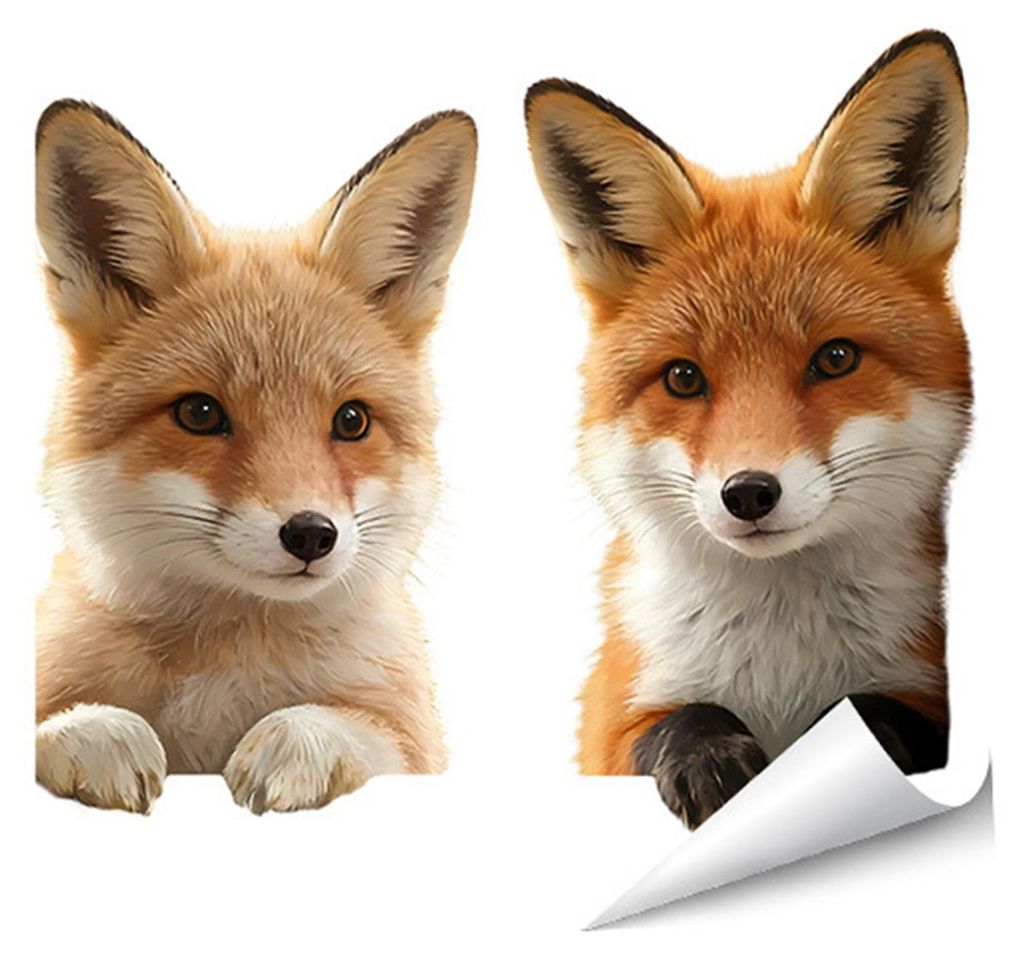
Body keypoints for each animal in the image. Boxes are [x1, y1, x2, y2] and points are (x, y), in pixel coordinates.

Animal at [34, 100, 476, 814]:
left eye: (351, 420)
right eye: (199, 413)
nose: (311, 534)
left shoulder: (414, 744)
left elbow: (347, 730)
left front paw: (293, 743)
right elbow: (60, 723)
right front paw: (99, 732)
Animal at [525, 30, 970, 827]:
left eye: (835, 358)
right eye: (682, 378)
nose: (750, 493)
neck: (780, 661)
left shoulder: (926, 691)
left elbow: (869, 712)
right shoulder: (614, 718)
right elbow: (679, 719)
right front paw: (710, 755)